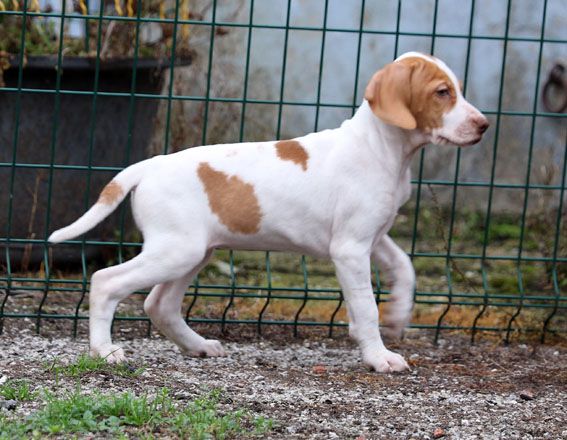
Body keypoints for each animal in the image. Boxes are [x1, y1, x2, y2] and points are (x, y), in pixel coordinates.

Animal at [49, 52, 489, 372]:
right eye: (442, 92)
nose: (484, 125)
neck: (380, 147)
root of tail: (149, 165)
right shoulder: (350, 249)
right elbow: (365, 308)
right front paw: (379, 357)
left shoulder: (374, 238)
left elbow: (405, 268)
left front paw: (398, 313)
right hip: (176, 250)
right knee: (106, 282)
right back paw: (104, 351)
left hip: (194, 252)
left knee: (160, 305)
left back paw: (199, 346)